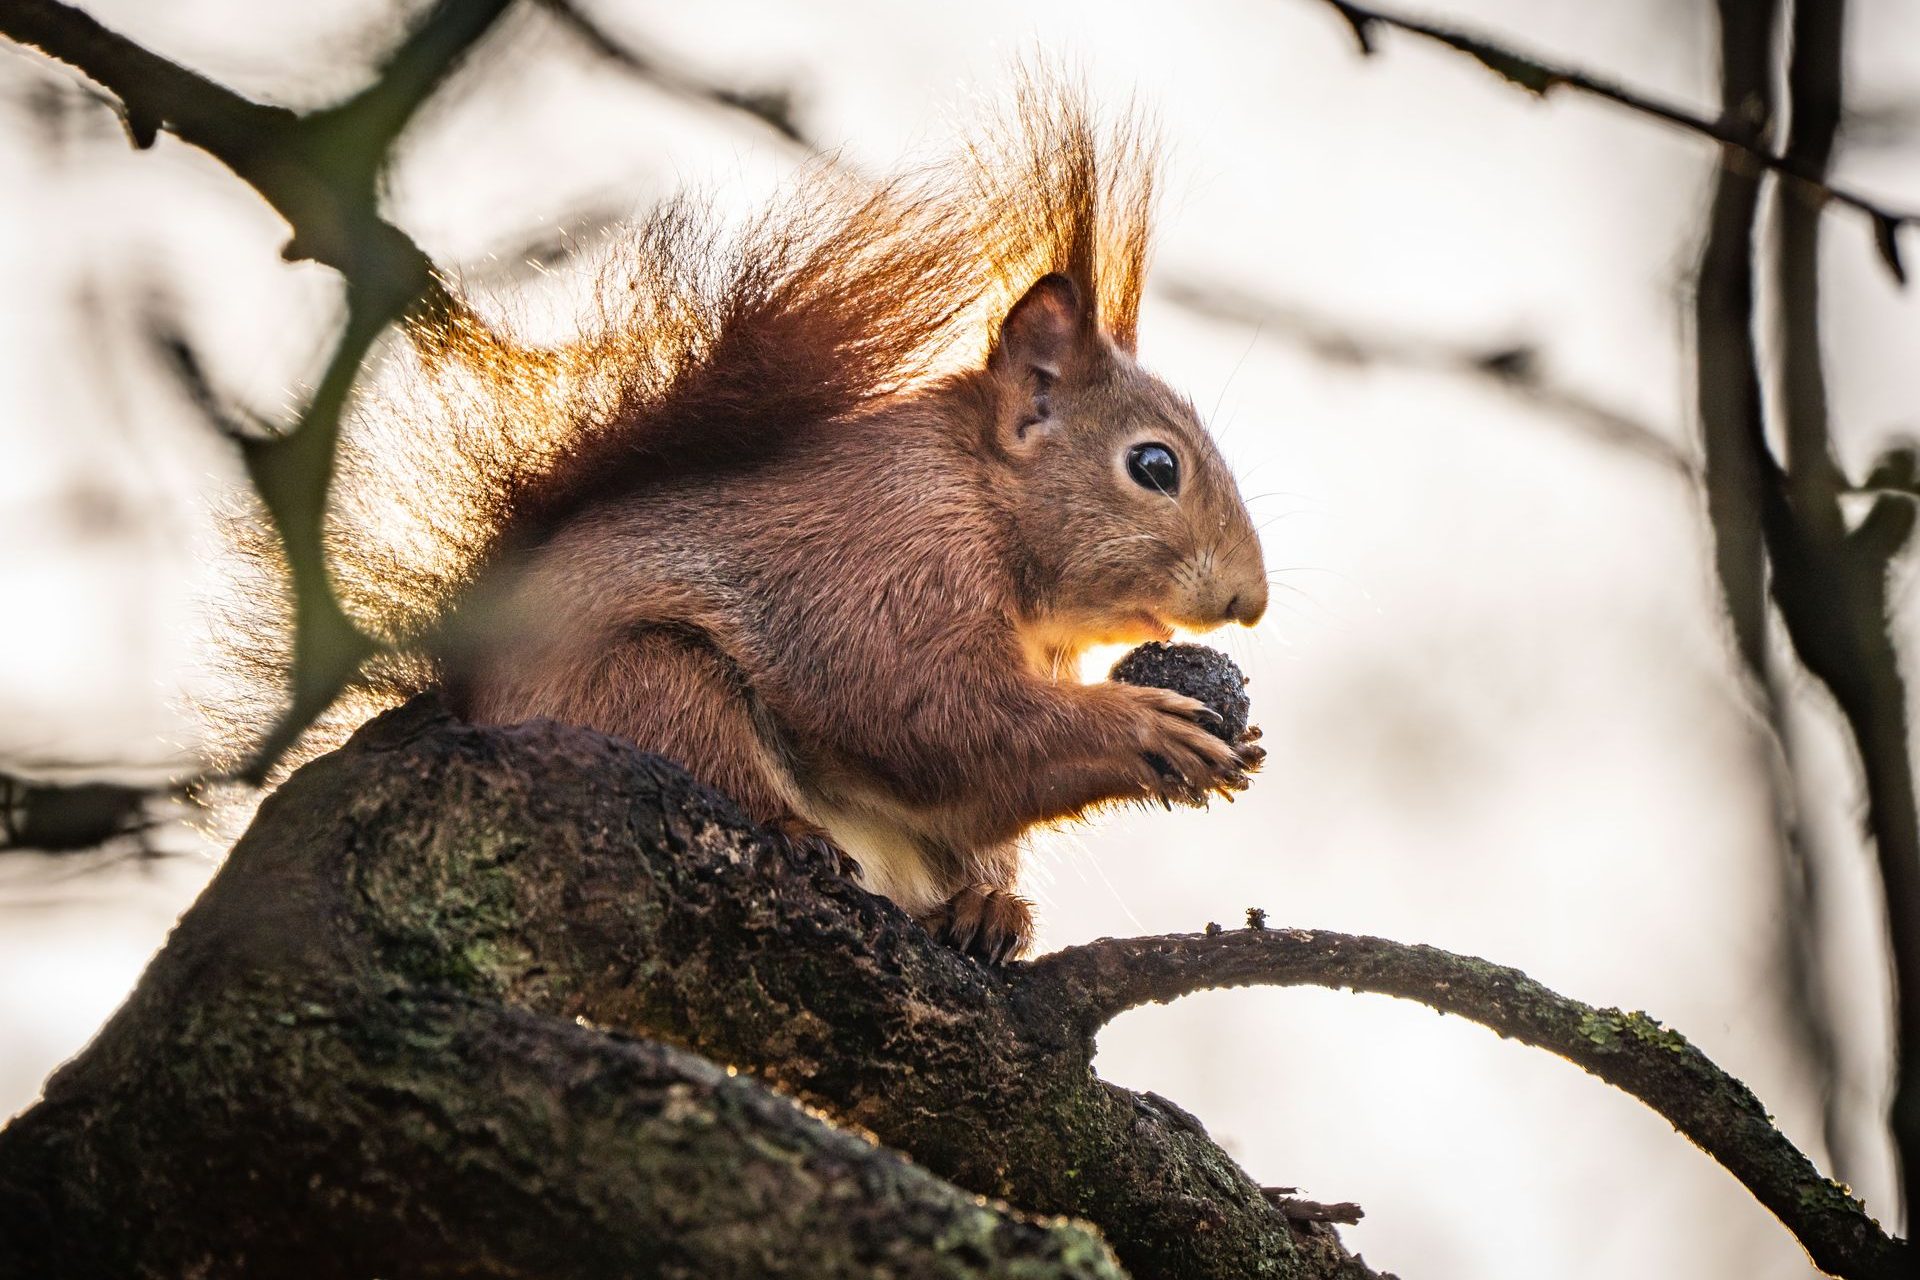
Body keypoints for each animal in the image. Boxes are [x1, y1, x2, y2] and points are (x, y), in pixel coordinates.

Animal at [228, 80, 1259, 959]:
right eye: (1155, 466)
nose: (1248, 601)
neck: (984, 503)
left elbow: (968, 793)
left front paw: (998, 889)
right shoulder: (885, 558)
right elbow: (922, 711)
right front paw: (1143, 727)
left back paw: (982, 905)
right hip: (646, 686)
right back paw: (792, 827)